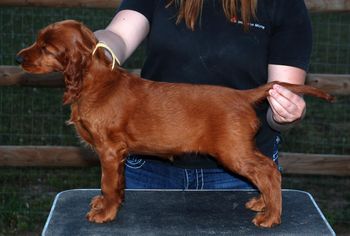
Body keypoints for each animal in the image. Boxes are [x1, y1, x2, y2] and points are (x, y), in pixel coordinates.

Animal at [16, 20, 334, 229]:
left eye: (46, 47)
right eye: (39, 40)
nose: (18, 58)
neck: (95, 82)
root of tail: (243, 95)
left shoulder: (108, 149)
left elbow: (107, 182)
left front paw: (105, 213)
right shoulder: (119, 154)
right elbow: (117, 183)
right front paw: (110, 204)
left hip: (232, 151)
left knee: (269, 170)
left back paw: (270, 216)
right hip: (239, 147)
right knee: (267, 168)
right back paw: (262, 203)